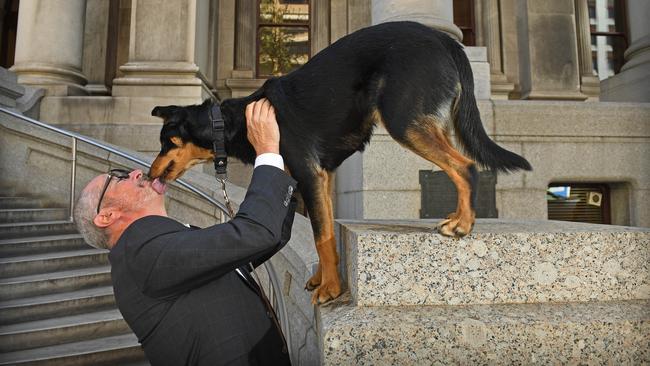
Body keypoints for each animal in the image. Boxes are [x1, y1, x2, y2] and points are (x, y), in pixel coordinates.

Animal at [148, 21, 532, 304]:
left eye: (165, 142)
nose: (149, 172)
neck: (232, 120)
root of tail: (442, 37)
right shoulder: (320, 178)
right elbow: (327, 234)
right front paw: (324, 278)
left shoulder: (309, 176)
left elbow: (321, 234)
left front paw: (330, 289)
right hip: (426, 123)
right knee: (457, 165)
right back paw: (457, 216)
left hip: (405, 121)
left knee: (465, 165)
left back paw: (463, 224)